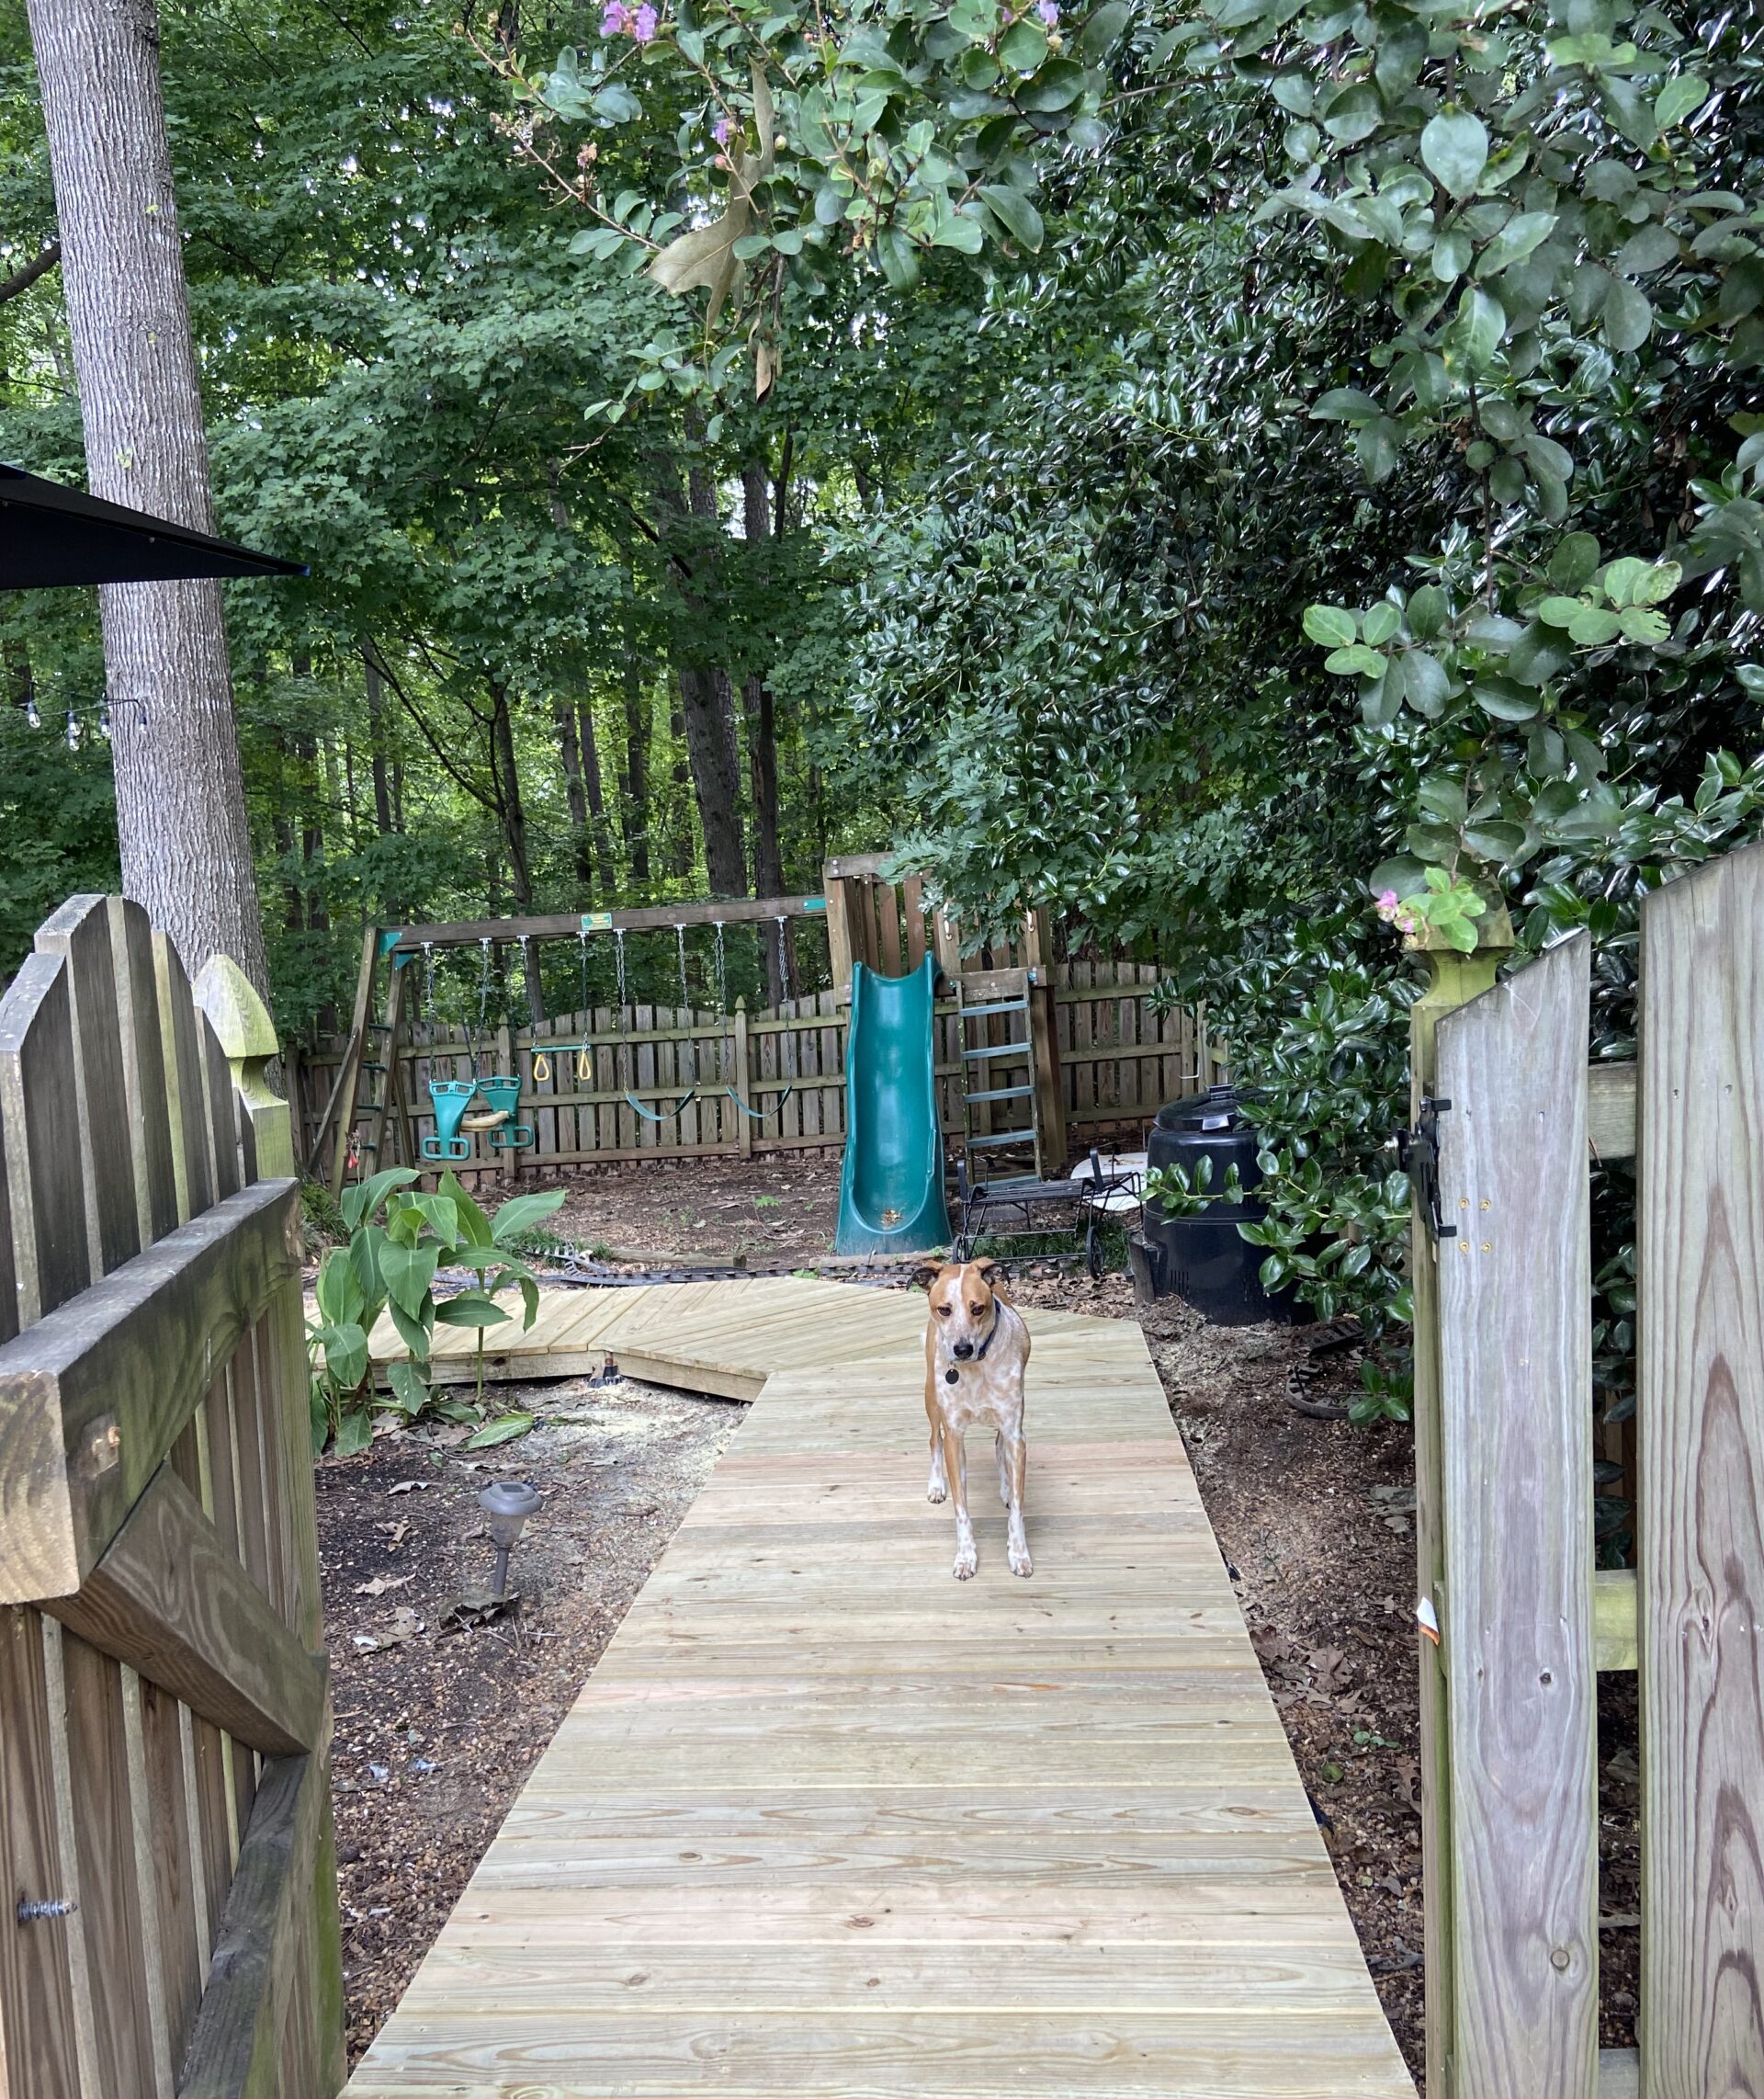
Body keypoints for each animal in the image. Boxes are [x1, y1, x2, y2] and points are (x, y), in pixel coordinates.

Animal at [922, 1259, 1032, 1578]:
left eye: (978, 1308)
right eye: (944, 1309)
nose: (961, 1349)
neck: (976, 1369)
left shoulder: (1015, 1432)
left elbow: (1018, 1505)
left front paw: (1019, 1553)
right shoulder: (954, 1436)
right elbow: (962, 1510)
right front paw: (965, 1556)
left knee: (998, 1445)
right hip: (931, 1396)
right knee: (933, 1439)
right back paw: (936, 1485)